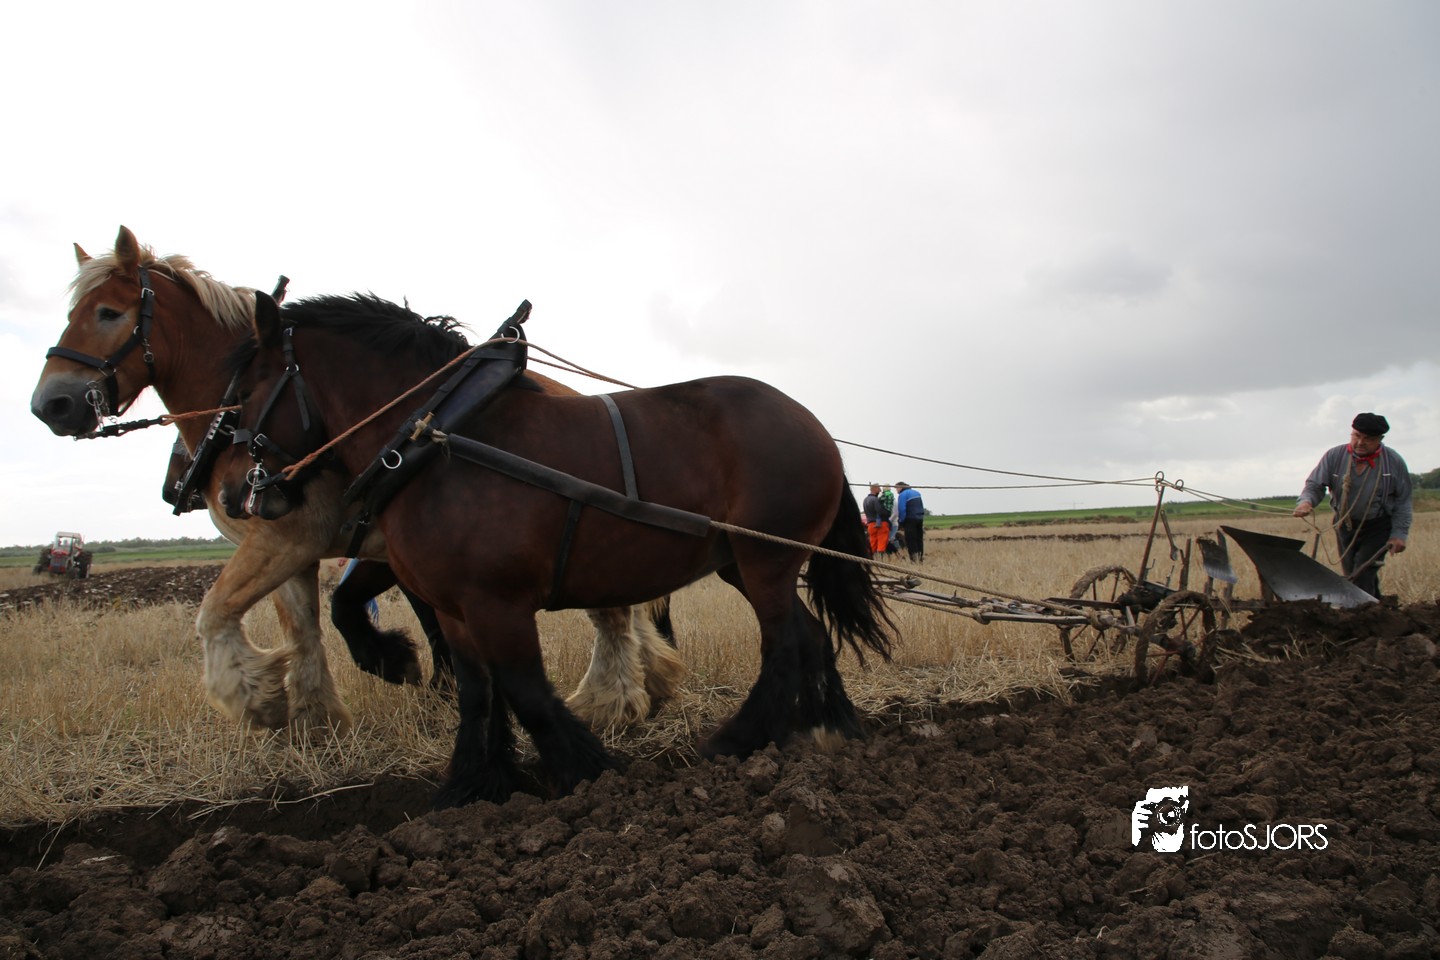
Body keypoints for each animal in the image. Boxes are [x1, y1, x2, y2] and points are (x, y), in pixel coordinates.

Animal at [29, 226, 684, 733]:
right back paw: (645, 685)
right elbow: (304, 629)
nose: (50, 405)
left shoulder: (298, 537)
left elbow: (221, 612)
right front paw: (316, 720)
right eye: (71, 313)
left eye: (107, 313)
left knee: (611, 613)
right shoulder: (295, 545)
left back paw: (612, 701)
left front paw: (267, 699)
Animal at [220, 290, 892, 805]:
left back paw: (736, 739)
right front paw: (473, 783)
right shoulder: (454, 608)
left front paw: (586, 769)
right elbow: (477, 691)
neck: (435, 440)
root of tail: (814, 426)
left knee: (784, 644)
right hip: (743, 565)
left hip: (766, 561)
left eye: (246, 390)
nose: (235, 494)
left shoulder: (497, 601)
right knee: (810, 634)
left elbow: (526, 689)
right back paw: (827, 726)